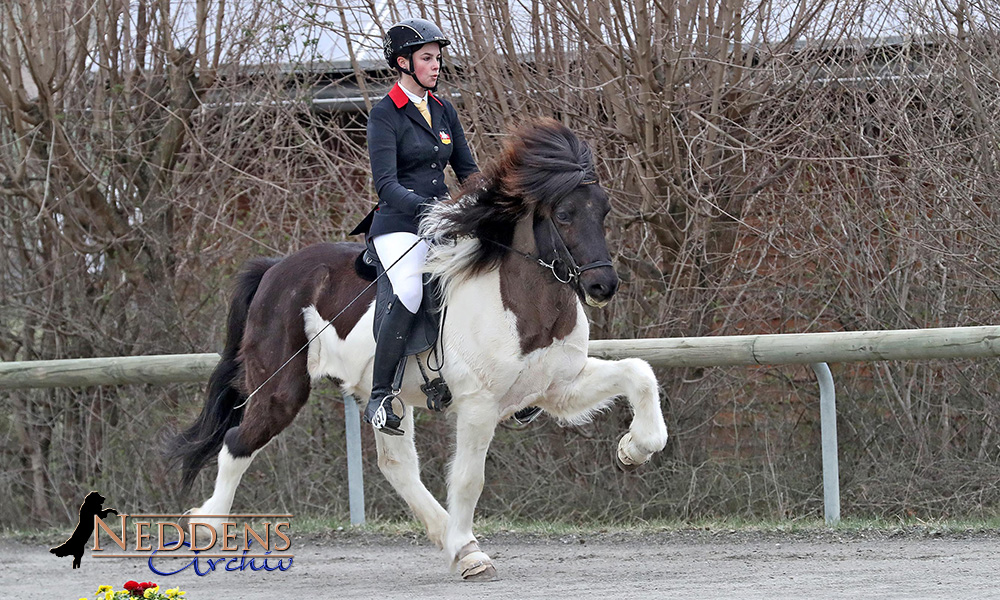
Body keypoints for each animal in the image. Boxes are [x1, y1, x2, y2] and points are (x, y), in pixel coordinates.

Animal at [166, 115, 672, 580]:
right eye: (564, 213)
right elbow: (468, 479)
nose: (603, 286)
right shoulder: (479, 405)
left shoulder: (558, 388)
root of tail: (274, 268)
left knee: (397, 465)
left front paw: (634, 448)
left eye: (603, 210)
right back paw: (207, 526)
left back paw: (450, 538)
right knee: (237, 442)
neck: (523, 302)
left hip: (384, 398)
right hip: (280, 390)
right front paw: (471, 557)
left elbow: (639, 372)